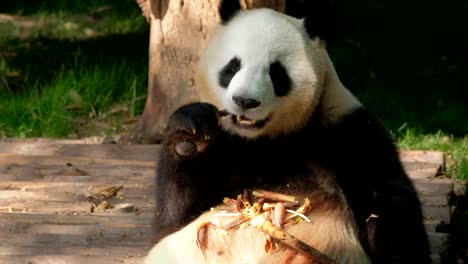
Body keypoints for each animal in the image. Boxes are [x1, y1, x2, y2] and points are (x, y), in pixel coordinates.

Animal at [144, 1, 430, 262]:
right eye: (232, 67)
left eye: (277, 73)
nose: (245, 101)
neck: (265, 141)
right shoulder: (228, 144)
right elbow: (172, 219)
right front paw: (189, 139)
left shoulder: (347, 132)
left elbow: (389, 205)